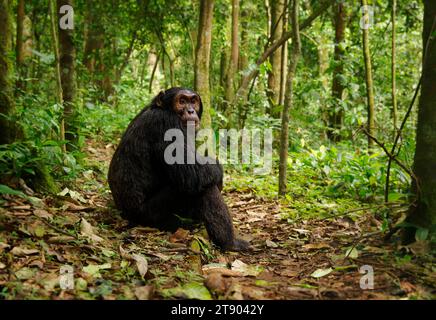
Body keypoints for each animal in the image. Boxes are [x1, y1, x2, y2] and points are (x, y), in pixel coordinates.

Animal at [107, 86, 250, 251]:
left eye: (193, 101)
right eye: (181, 101)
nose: (190, 111)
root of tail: (124, 214)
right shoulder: (166, 124)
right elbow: (193, 173)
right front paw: (218, 170)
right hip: (151, 214)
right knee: (204, 188)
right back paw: (230, 243)